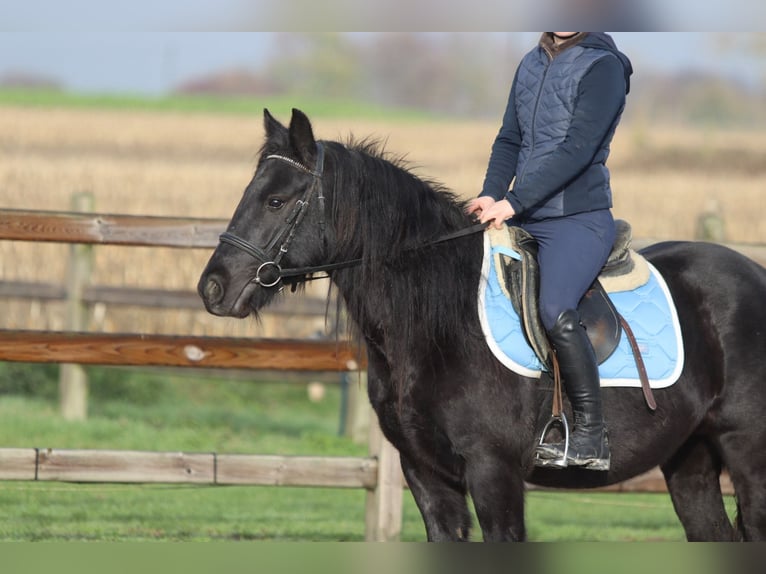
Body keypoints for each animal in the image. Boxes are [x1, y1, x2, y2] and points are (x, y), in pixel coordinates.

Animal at [198, 108, 766, 541]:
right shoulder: (426, 475)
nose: (213, 288)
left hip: (748, 457)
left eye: (276, 201)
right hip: (690, 460)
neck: (440, 324)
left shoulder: (494, 474)